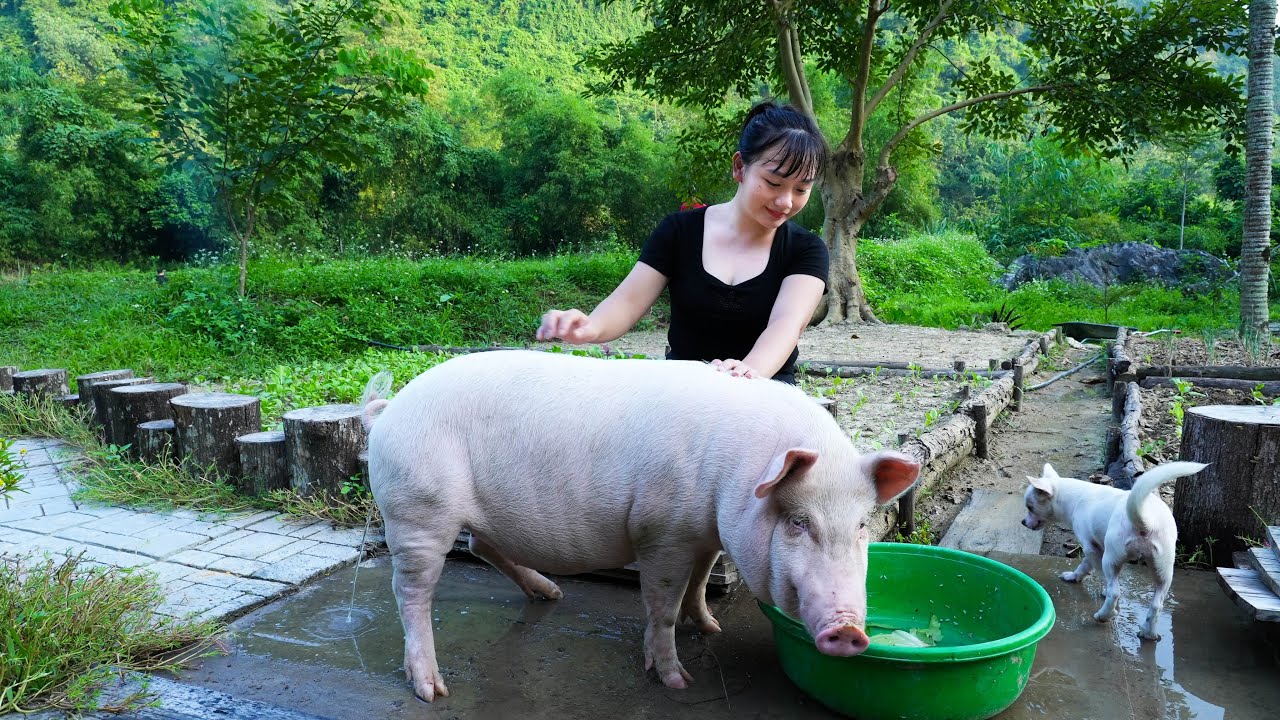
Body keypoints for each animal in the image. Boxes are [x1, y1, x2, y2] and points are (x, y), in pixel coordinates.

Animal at [360, 351, 921, 696]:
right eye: (799, 522)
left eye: (863, 525)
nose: (849, 631)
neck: (734, 473)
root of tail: (387, 411)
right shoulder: (662, 531)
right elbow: (663, 606)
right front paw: (676, 680)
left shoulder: (703, 533)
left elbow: (701, 581)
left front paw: (711, 626)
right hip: (417, 510)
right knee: (411, 593)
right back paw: (432, 689)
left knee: (482, 546)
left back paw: (551, 595)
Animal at [1018, 458, 1208, 638]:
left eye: (1029, 507)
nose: (1023, 522)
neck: (1074, 498)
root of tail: (1145, 521)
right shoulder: (1094, 548)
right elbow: (1085, 565)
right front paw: (1074, 576)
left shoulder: (1092, 549)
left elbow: (1098, 574)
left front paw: (1102, 592)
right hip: (1163, 569)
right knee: (1157, 604)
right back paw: (1148, 633)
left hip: (1111, 559)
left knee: (1115, 592)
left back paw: (1104, 615)